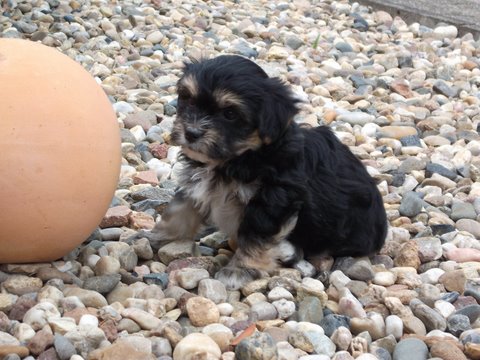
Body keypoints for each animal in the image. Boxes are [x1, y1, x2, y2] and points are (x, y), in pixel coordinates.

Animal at [142, 55, 386, 290]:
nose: (191, 133)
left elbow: (255, 237)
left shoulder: (273, 201)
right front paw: (159, 236)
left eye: (230, 114)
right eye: (188, 99)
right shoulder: (197, 184)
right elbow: (180, 210)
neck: (242, 158)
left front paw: (239, 270)